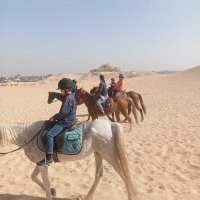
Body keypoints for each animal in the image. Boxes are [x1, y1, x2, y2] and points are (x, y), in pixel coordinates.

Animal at [0, 119, 138, 200]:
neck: (28, 136)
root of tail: (110, 124)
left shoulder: (43, 165)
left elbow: (45, 183)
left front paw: (51, 192)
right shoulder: (41, 163)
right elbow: (33, 177)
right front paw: (53, 191)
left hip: (108, 155)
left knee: (123, 175)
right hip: (98, 153)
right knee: (99, 174)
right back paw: (87, 197)